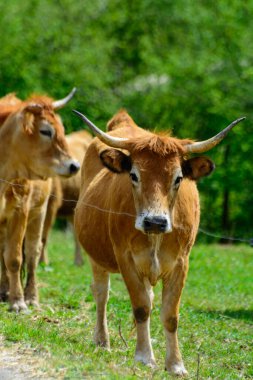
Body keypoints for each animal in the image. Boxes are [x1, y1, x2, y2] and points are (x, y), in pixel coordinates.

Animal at [0, 90, 80, 312]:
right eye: (46, 131)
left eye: (62, 130)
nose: (74, 165)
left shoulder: (20, 211)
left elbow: (15, 258)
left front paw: (18, 301)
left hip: (40, 213)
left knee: (32, 254)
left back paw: (30, 296)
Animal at [73, 110, 243, 378]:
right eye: (134, 175)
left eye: (178, 178)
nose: (155, 221)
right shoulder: (126, 259)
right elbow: (141, 307)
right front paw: (144, 357)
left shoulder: (181, 263)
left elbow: (170, 315)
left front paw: (175, 364)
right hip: (96, 258)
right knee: (102, 293)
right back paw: (102, 340)